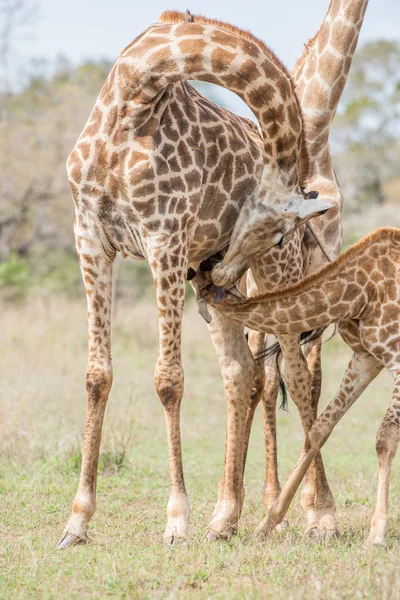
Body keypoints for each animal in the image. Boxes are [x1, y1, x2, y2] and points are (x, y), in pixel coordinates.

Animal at [59, 15, 330, 548]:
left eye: (277, 232)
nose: (220, 269)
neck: (133, 96)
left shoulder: (164, 238)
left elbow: (168, 380)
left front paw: (176, 521)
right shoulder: (91, 237)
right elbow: (97, 375)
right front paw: (77, 521)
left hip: (275, 277)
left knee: (296, 375)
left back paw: (321, 516)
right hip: (220, 292)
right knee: (243, 372)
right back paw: (227, 519)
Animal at [195, 227, 400, 548]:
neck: (359, 291)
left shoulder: (397, 357)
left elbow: (385, 438)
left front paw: (377, 533)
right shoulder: (366, 358)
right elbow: (319, 430)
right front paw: (267, 525)